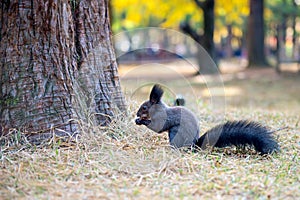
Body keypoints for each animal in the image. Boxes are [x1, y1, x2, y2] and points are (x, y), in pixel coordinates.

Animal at [135, 83, 280, 154]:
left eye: (144, 107)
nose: (137, 114)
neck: (160, 109)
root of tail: (194, 145)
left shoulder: (163, 118)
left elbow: (158, 127)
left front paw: (141, 121)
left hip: (175, 134)